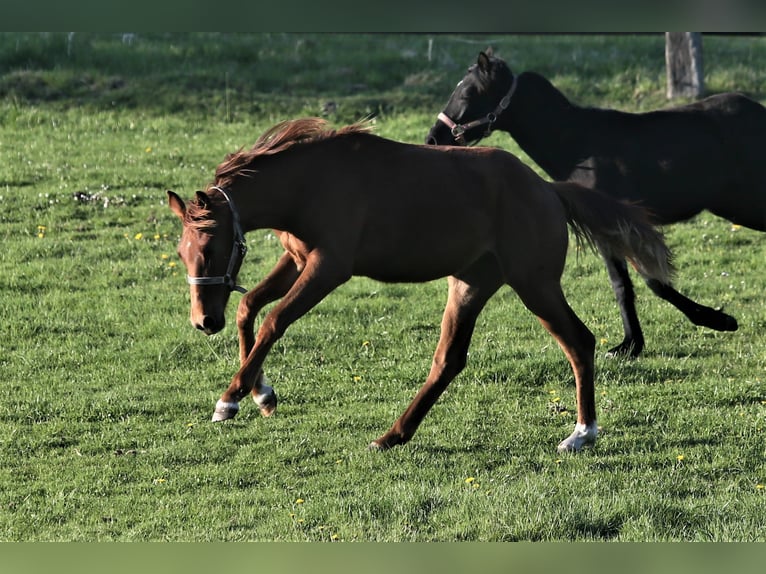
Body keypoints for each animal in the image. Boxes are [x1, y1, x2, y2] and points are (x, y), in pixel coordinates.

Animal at [167, 117, 673, 453]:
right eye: (182, 252)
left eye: (209, 249)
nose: (203, 321)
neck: (311, 181)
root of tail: (549, 190)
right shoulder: (297, 260)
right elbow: (249, 306)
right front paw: (261, 394)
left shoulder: (328, 267)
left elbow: (274, 319)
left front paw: (230, 399)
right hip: (470, 285)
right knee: (449, 360)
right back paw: (392, 435)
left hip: (535, 284)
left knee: (579, 341)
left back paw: (582, 433)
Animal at [425, 50, 758, 358]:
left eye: (467, 93)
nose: (432, 138)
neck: (577, 146)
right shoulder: (606, 231)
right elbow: (622, 285)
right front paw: (630, 344)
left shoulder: (620, 227)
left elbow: (653, 281)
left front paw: (719, 320)